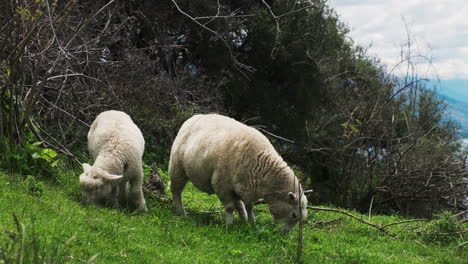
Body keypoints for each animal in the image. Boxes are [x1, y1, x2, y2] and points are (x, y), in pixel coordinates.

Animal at [168, 113, 308, 233]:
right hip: (177, 167)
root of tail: (193, 117)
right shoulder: (222, 184)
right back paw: (181, 213)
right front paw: (229, 225)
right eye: (294, 215)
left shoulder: (246, 187)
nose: (284, 234)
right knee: (176, 191)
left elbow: (249, 207)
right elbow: (230, 207)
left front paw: (250, 223)